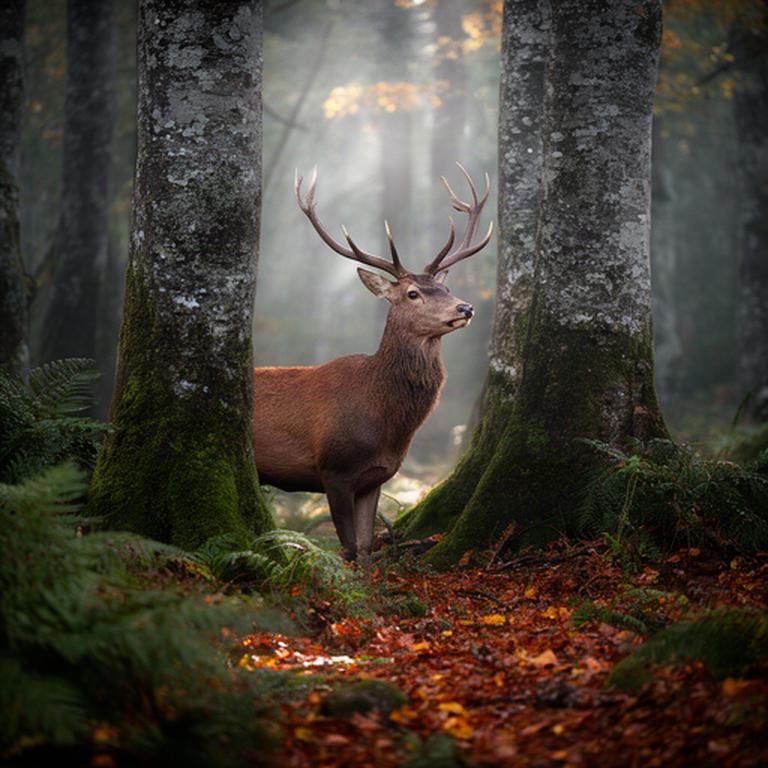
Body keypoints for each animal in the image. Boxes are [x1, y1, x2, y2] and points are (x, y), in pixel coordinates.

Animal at [252, 163, 493, 564]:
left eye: (444, 288)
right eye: (412, 293)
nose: (465, 307)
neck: (385, 424)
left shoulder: (376, 477)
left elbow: (365, 548)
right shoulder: (333, 469)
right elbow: (348, 549)